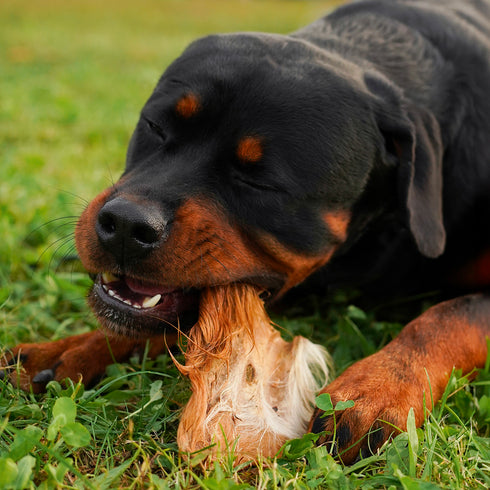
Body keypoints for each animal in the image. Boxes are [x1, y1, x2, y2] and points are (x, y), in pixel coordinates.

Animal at [4, 0, 490, 464]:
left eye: (260, 181)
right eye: (155, 127)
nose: (126, 224)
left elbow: (448, 316)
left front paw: (377, 389)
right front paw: (72, 348)